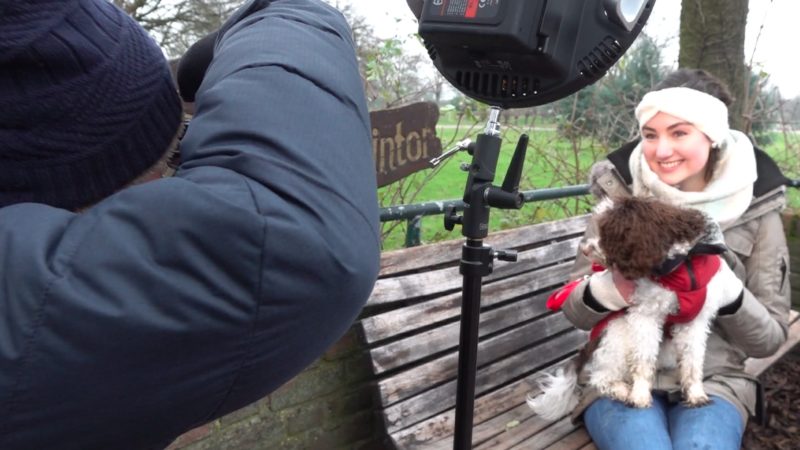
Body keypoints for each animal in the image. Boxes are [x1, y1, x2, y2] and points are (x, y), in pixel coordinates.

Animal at [524, 195, 744, 420]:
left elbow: (692, 361)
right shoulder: (645, 315)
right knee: (600, 377)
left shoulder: (694, 322)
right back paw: (622, 389)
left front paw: (696, 394)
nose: (584, 249)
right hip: (618, 331)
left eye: (608, 232)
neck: (680, 267)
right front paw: (639, 396)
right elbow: (643, 359)